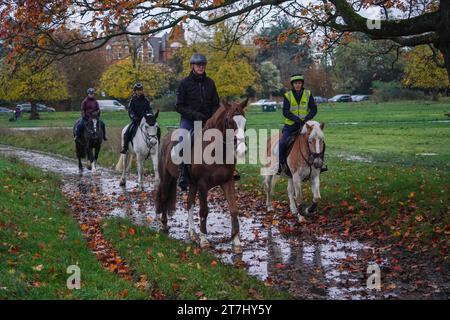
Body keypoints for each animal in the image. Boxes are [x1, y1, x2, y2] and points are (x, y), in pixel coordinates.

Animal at [156, 99, 248, 252]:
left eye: (244, 120)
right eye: (229, 121)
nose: (242, 150)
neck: (215, 151)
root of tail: (167, 137)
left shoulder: (227, 181)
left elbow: (234, 209)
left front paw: (236, 242)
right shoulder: (203, 184)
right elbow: (204, 211)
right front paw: (204, 240)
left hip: (192, 184)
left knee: (189, 202)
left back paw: (192, 233)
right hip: (167, 177)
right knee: (164, 197)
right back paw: (163, 225)